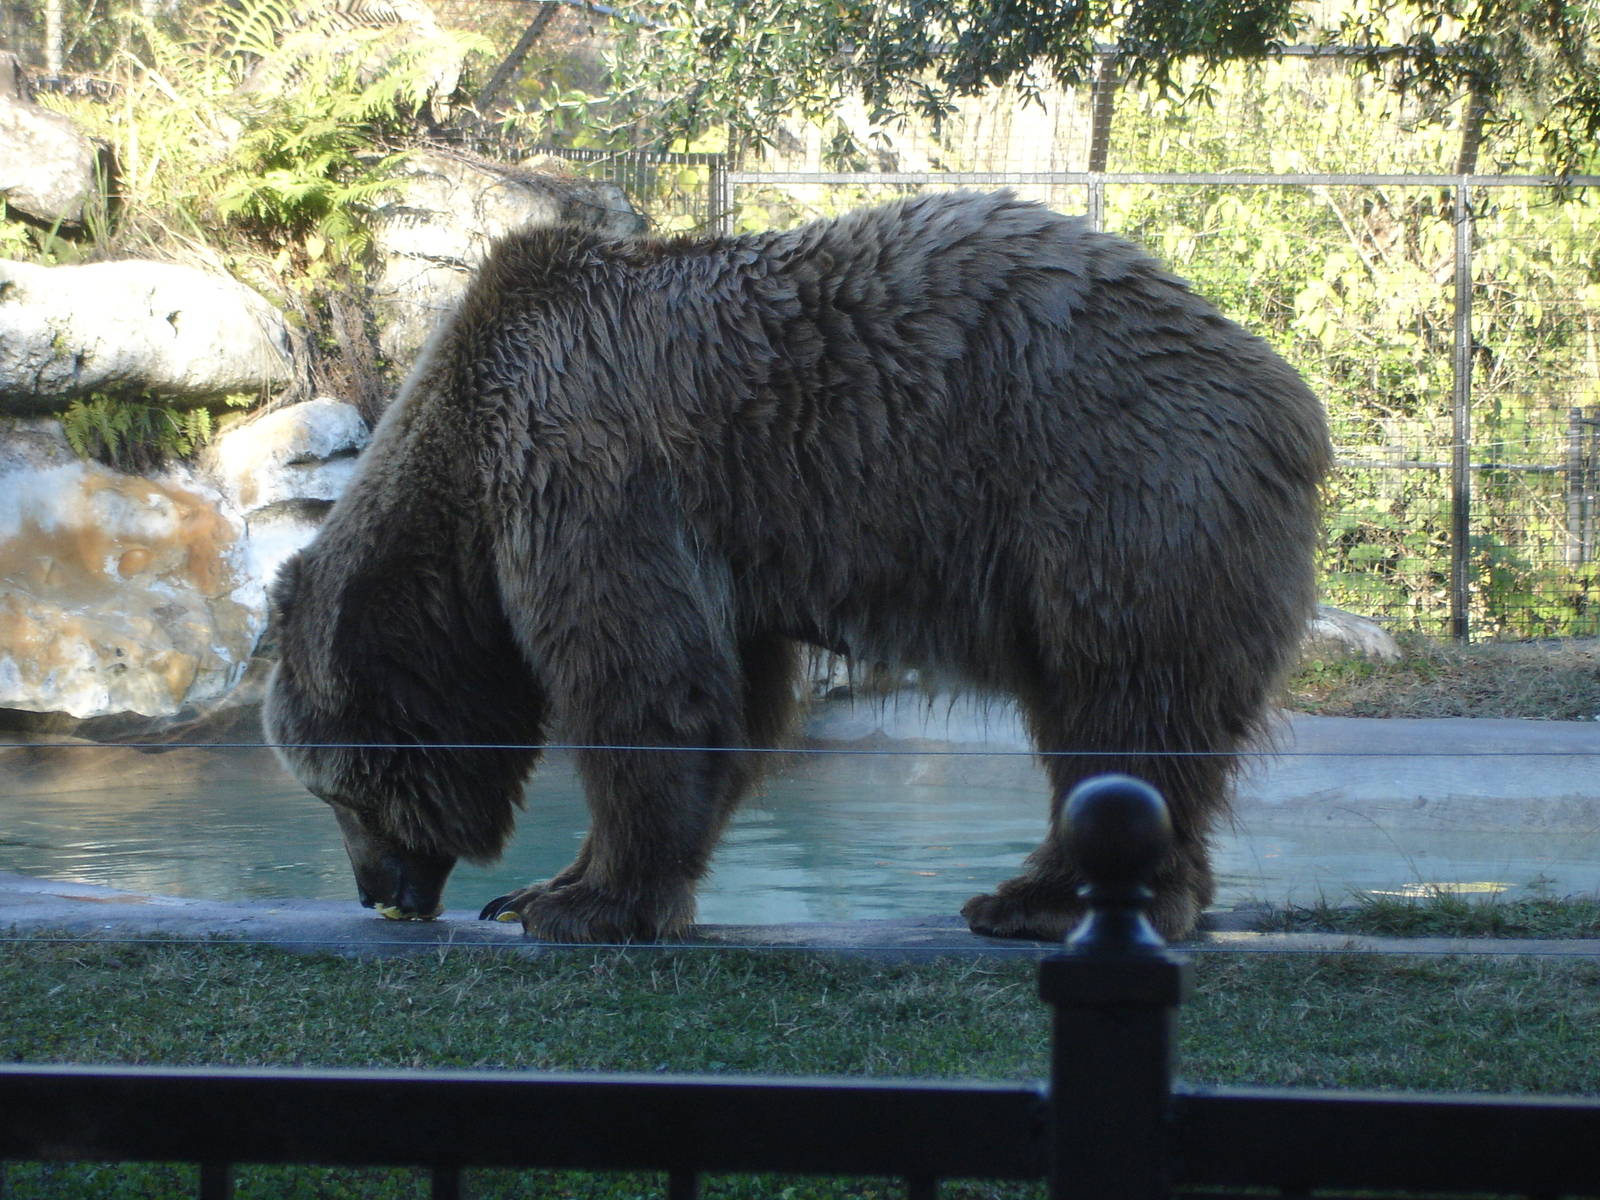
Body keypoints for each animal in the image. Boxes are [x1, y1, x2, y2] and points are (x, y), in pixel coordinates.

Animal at [263, 189, 1330, 943]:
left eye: (340, 792)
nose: (378, 892)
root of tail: (1289, 394)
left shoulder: (586, 472)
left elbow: (641, 684)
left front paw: (589, 905)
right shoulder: (723, 545)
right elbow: (728, 702)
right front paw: (542, 887)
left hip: (1113, 486)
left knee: (1122, 703)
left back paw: (1044, 897)